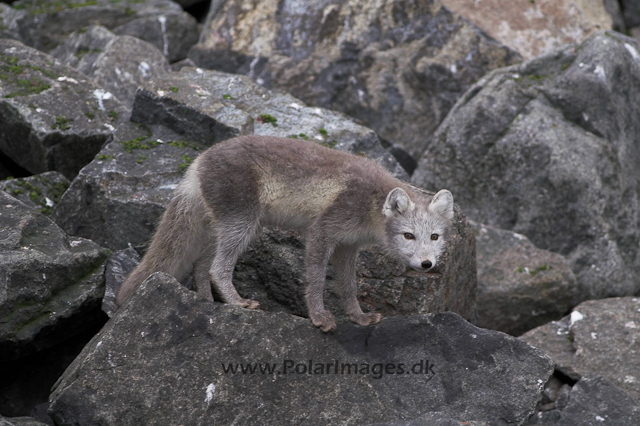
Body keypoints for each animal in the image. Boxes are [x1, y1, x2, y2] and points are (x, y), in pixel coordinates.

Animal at [116, 136, 456, 332]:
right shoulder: (322, 231)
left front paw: (358, 318)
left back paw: (207, 302)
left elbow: (348, 286)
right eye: (408, 236)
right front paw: (320, 318)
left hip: (222, 226)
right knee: (216, 268)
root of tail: (198, 160)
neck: (371, 202)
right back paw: (238, 303)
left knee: (201, 265)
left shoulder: (349, 246)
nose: (427, 264)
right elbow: (316, 281)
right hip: (243, 223)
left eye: (435, 237)